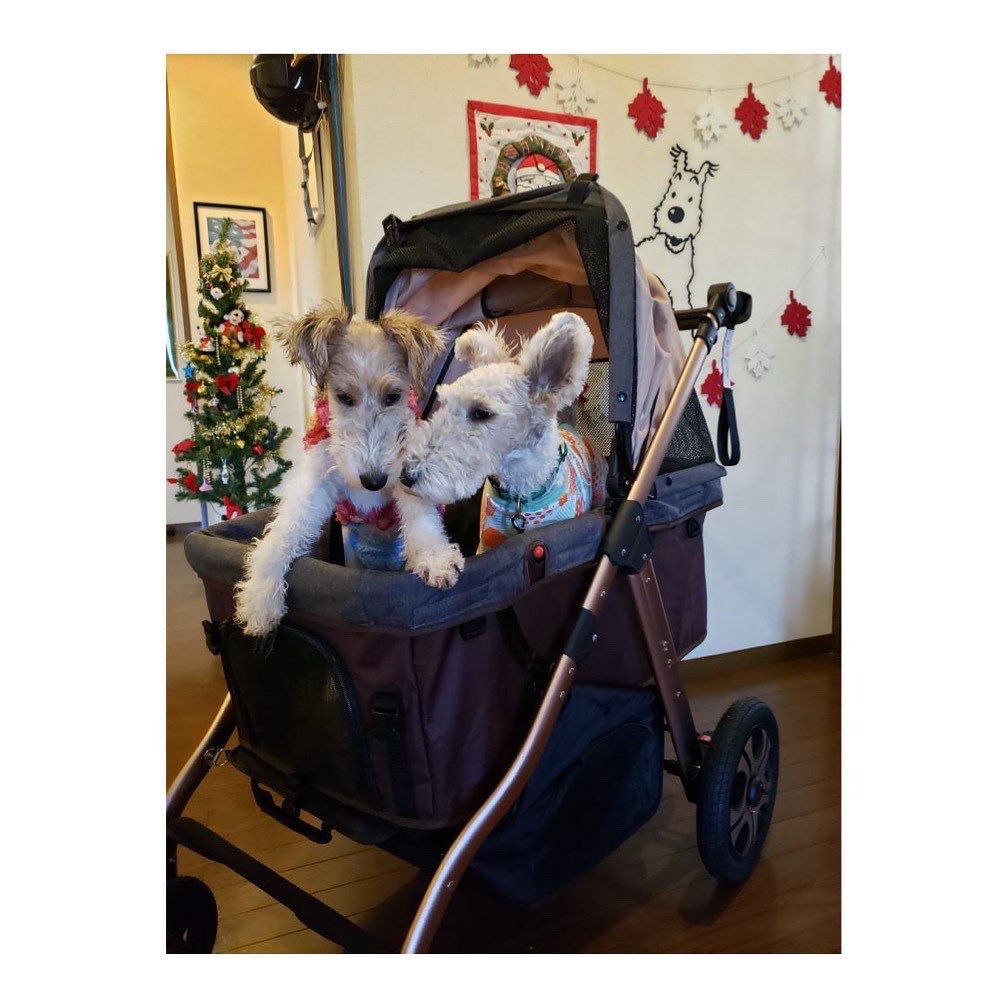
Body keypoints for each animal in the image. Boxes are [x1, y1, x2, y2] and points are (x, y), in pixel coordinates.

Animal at [234, 303, 464, 637]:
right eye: (343, 397)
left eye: (393, 396)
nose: (374, 480)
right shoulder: (318, 480)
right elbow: (285, 529)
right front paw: (259, 598)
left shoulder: (406, 470)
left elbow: (421, 516)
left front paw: (434, 558)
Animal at [396, 311, 604, 562]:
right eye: (444, 403)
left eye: (481, 413)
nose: (405, 476)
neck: (521, 495)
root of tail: (569, 424)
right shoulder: (487, 541)